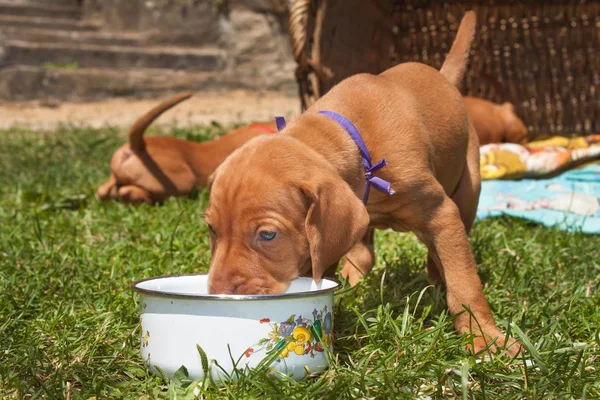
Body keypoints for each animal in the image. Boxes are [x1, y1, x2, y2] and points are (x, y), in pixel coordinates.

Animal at [204, 11, 516, 356]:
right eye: (212, 229)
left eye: (267, 235)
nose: (218, 293)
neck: (350, 139)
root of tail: (442, 76)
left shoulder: (441, 212)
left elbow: (464, 282)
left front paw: (485, 338)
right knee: (364, 251)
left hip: (468, 190)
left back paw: (436, 275)